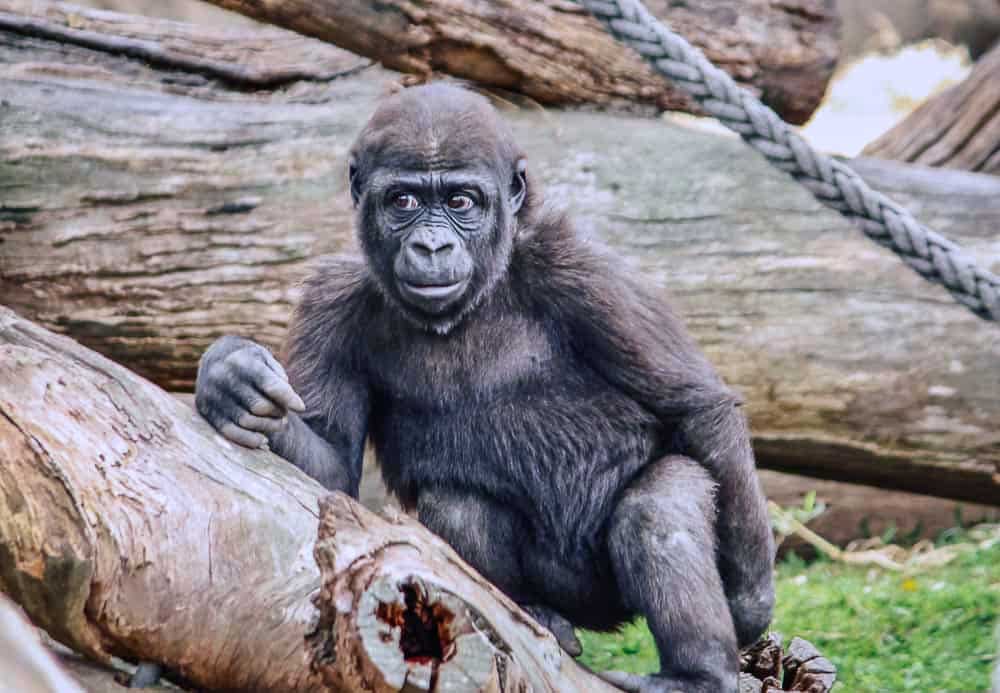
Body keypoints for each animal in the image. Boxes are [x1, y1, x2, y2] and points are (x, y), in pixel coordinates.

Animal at [195, 83, 775, 693]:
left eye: (461, 202)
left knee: (659, 507)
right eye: (403, 201)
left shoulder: (588, 273)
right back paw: (537, 616)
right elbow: (332, 469)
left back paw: (697, 672)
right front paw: (230, 378)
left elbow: (696, 407)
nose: (431, 247)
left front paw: (750, 602)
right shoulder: (328, 301)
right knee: (459, 506)